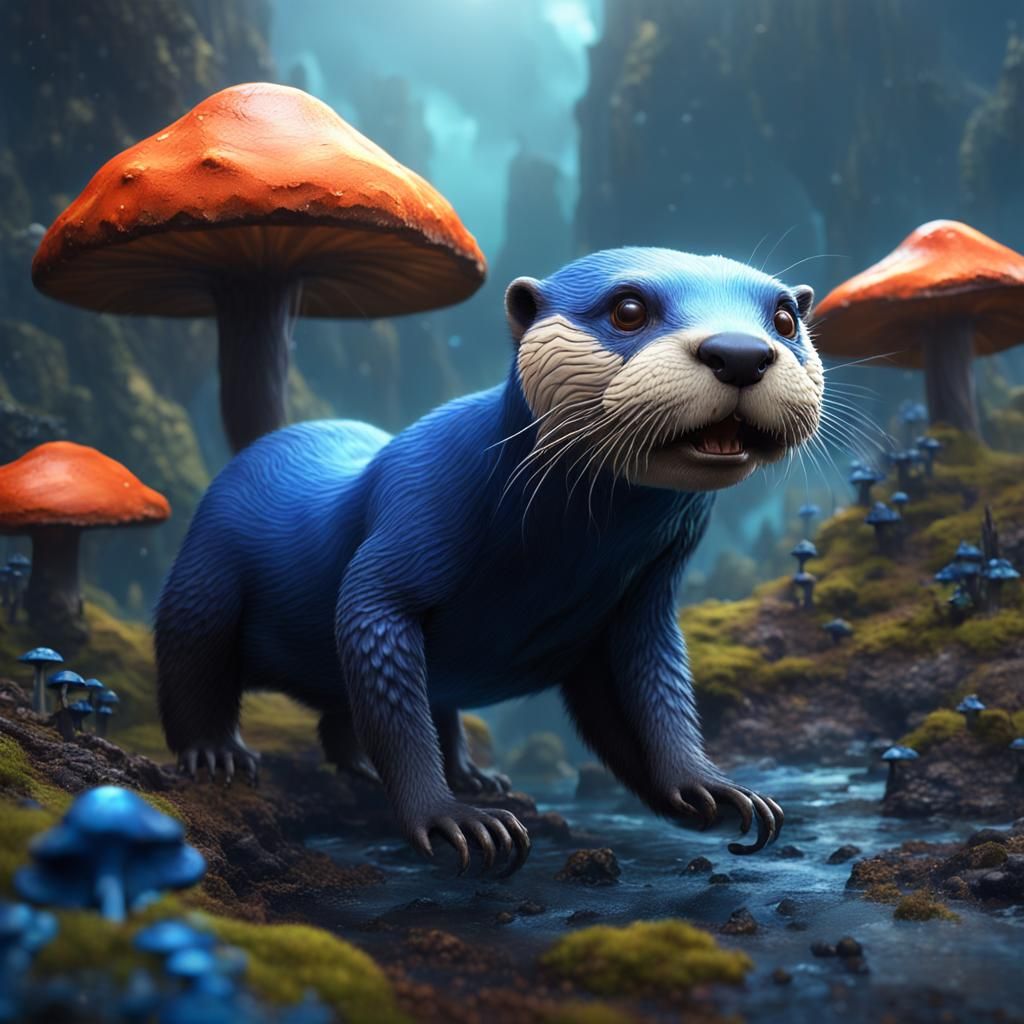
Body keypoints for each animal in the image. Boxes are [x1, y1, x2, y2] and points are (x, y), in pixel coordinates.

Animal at [155, 247, 822, 874]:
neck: (561, 548)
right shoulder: (420, 498)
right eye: (628, 310)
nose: (740, 353)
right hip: (204, 574)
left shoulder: (644, 597)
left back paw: (455, 774)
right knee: (193, 658)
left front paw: (706, 785)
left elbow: (656, 693)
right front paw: (446, 815)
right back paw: (216, 754)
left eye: (786, 318)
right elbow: (374, 631)